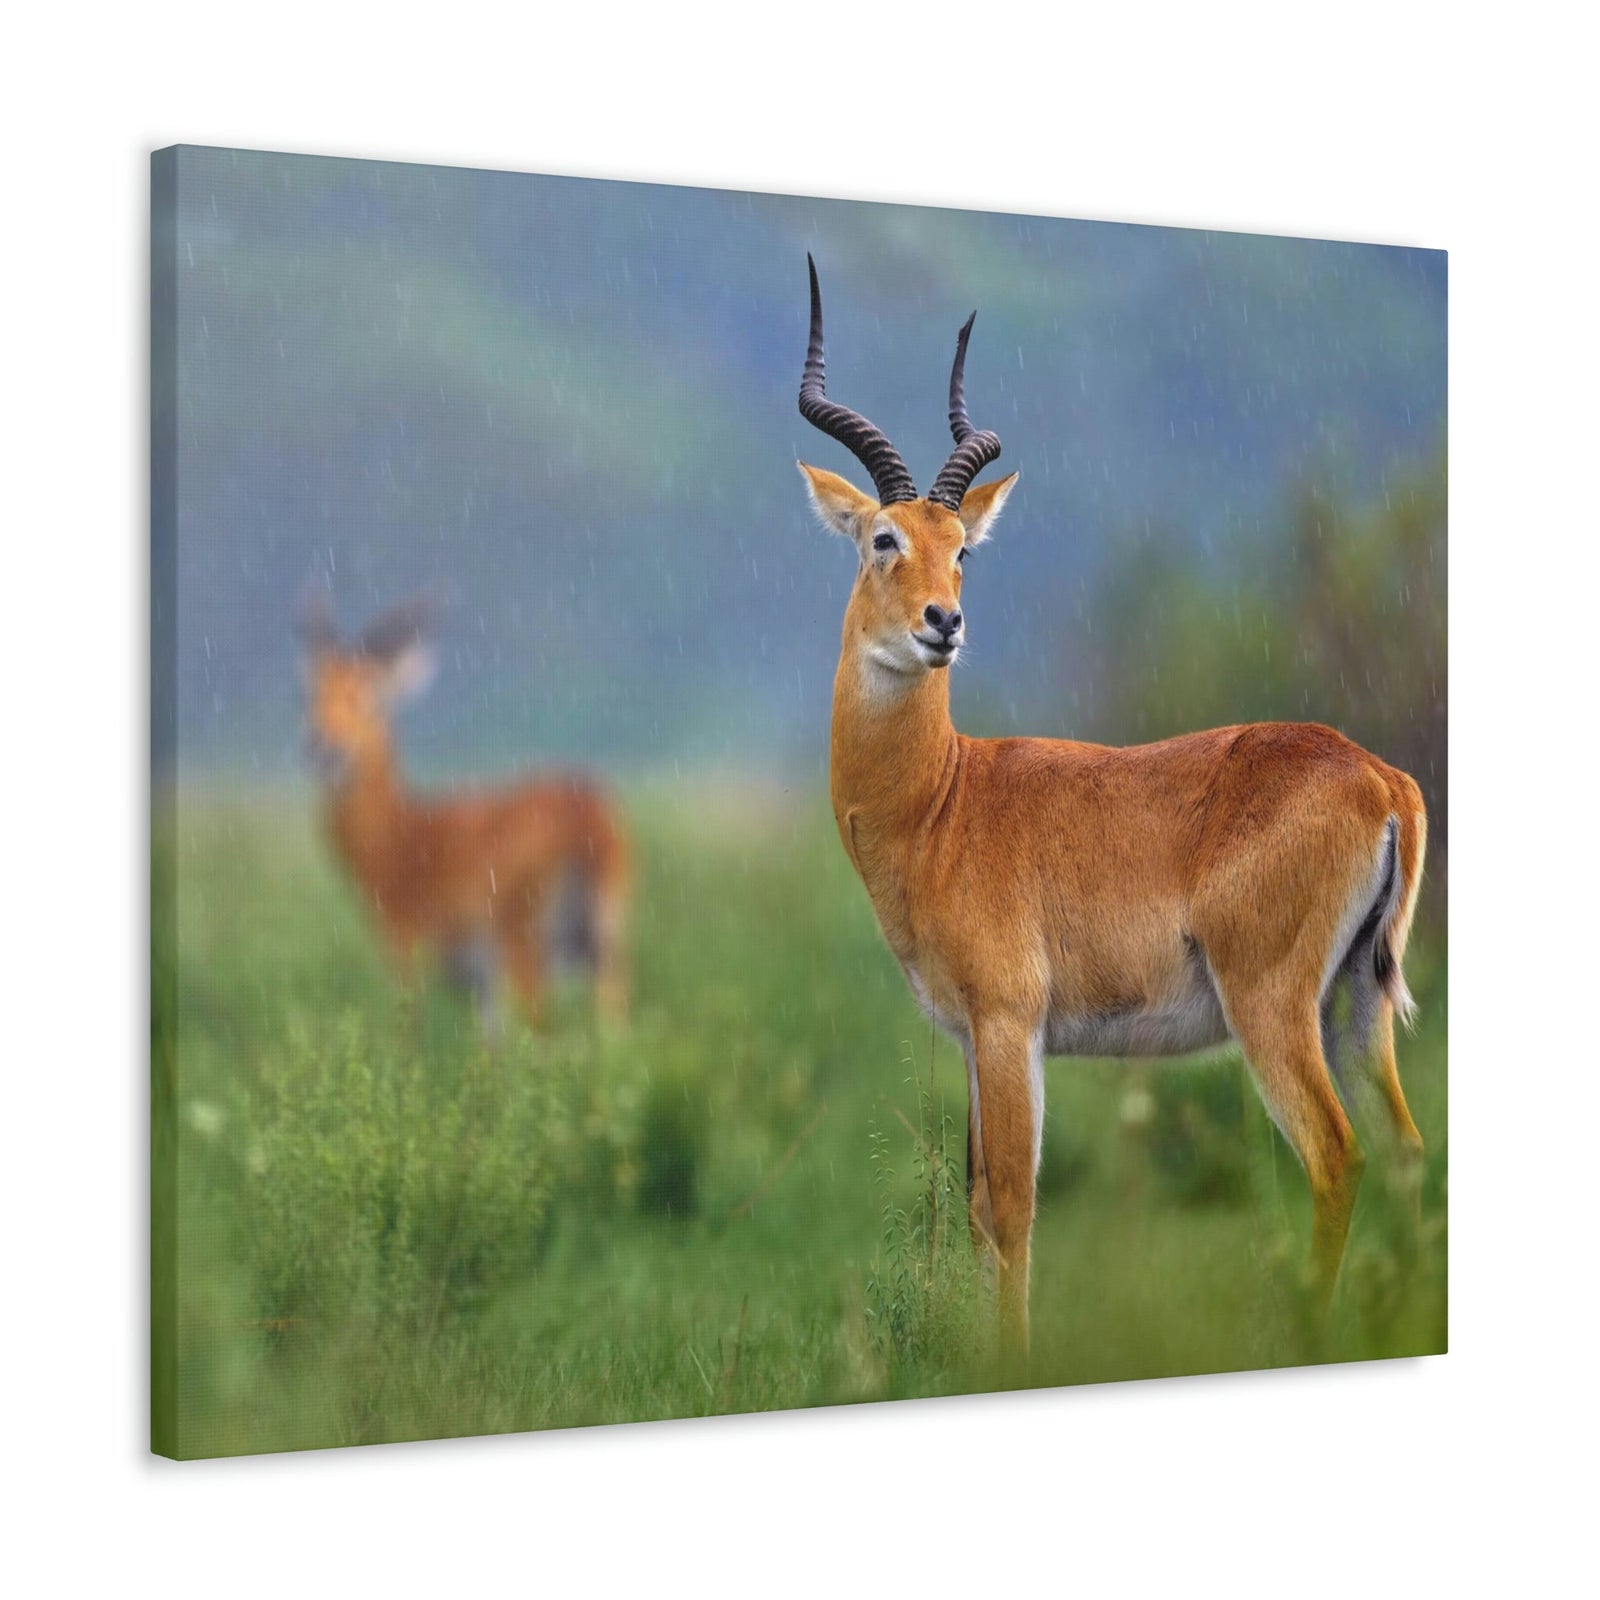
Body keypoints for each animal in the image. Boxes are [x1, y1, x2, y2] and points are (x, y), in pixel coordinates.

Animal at [298, 592, 631, 1032]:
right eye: (308, 696)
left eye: (368, 698)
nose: (322, 746)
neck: (398, 837)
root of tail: (587, 815)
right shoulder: (482, 987)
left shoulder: (408, 951)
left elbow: (409, 1033)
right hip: (602, 943)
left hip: (526, 944)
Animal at [796, 257, 1426, 1351]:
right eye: (883, 539)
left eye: (961, 547)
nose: (943, 624)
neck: (942, 802)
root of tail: (1378, 776)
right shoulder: (975, 1037)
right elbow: (977, 1203)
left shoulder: (1010, 1022)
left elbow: (1010, 1203)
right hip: (1357, 999)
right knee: (1406, 1153)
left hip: (1272, 1005)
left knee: (1335, 1154)